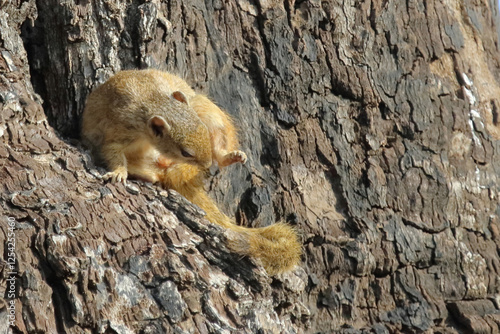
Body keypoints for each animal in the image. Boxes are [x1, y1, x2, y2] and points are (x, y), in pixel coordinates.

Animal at [82, 68, 300, 274]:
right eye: (185, 152)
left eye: (203, 131)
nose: (208, 166)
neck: (151, 102)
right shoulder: (119, 129)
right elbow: (112, 151)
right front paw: (118, 172)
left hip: (208, 111)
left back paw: (226, 157)